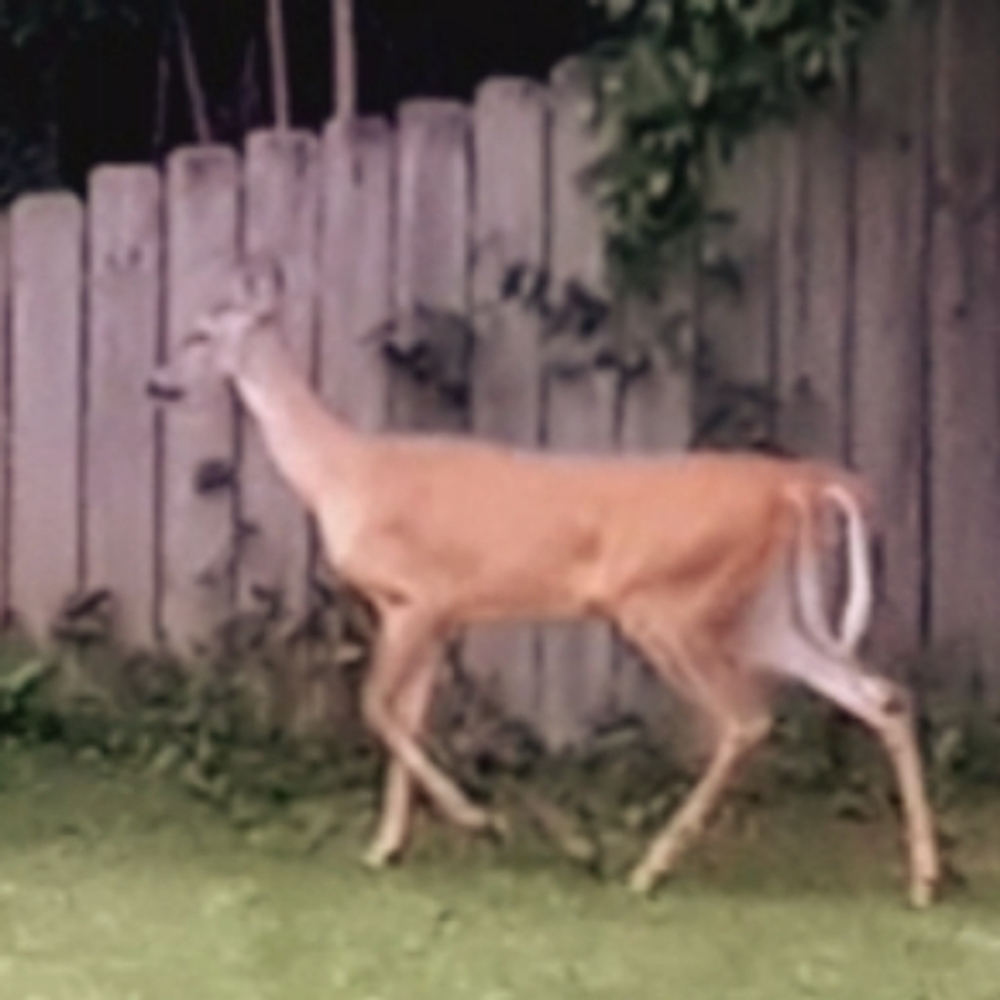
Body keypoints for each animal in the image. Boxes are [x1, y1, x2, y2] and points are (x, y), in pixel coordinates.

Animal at [147, 261, 940, 908]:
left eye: (199, 331)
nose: (156, 380)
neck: (345, 474)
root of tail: (797, 485)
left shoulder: (418, 598)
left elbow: (376, 707)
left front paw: (479, 820)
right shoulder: (440, 614)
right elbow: (406, 716)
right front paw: (389, 847)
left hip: (671, 605)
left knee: (746, 719)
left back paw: (647, 868)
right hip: (766, 611)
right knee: (882, 695)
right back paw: (925, 879)